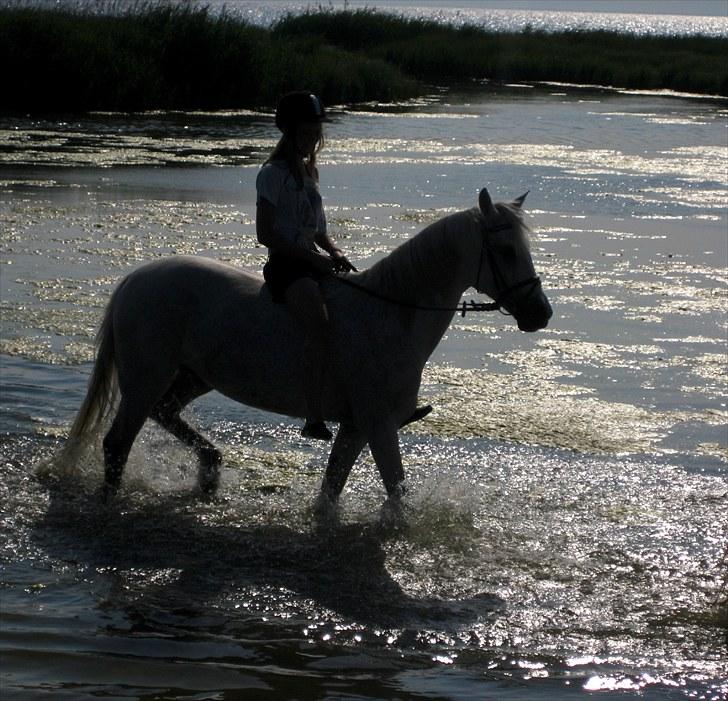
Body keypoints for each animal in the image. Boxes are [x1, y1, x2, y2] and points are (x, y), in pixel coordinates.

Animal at [65, 186, 552, 504]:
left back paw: (210, 468)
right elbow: (396, 494)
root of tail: (134, 279)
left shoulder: (356, 429)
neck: (392, 316)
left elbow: (330, 495)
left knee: (164, 414)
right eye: (506, 251)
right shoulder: (378, 426)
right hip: (145, 378)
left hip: (194, 376)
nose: (540, 314)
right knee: (118, 444)